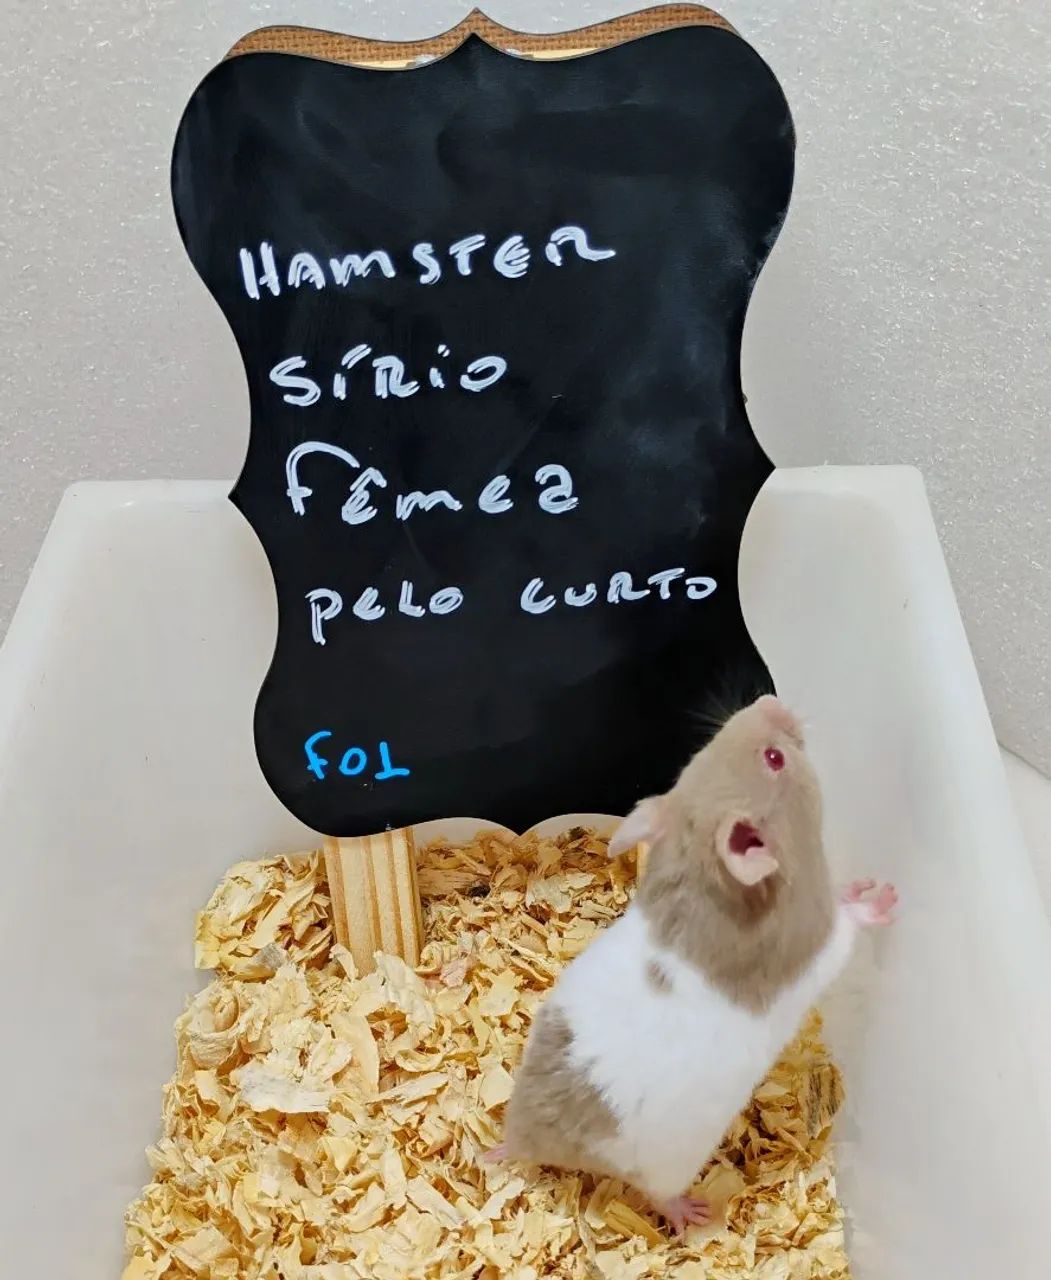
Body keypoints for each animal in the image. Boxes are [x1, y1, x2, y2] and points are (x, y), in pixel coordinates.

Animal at [490, 694, 896, 1233]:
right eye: (774, 759)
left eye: (700, 752)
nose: (771, 700)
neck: (700, 871)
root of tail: (526, 1141)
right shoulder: (819, 946)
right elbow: (849, 926)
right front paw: (883, 896)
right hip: (669, 1164)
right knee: (658, 1194)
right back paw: (692, 1213)